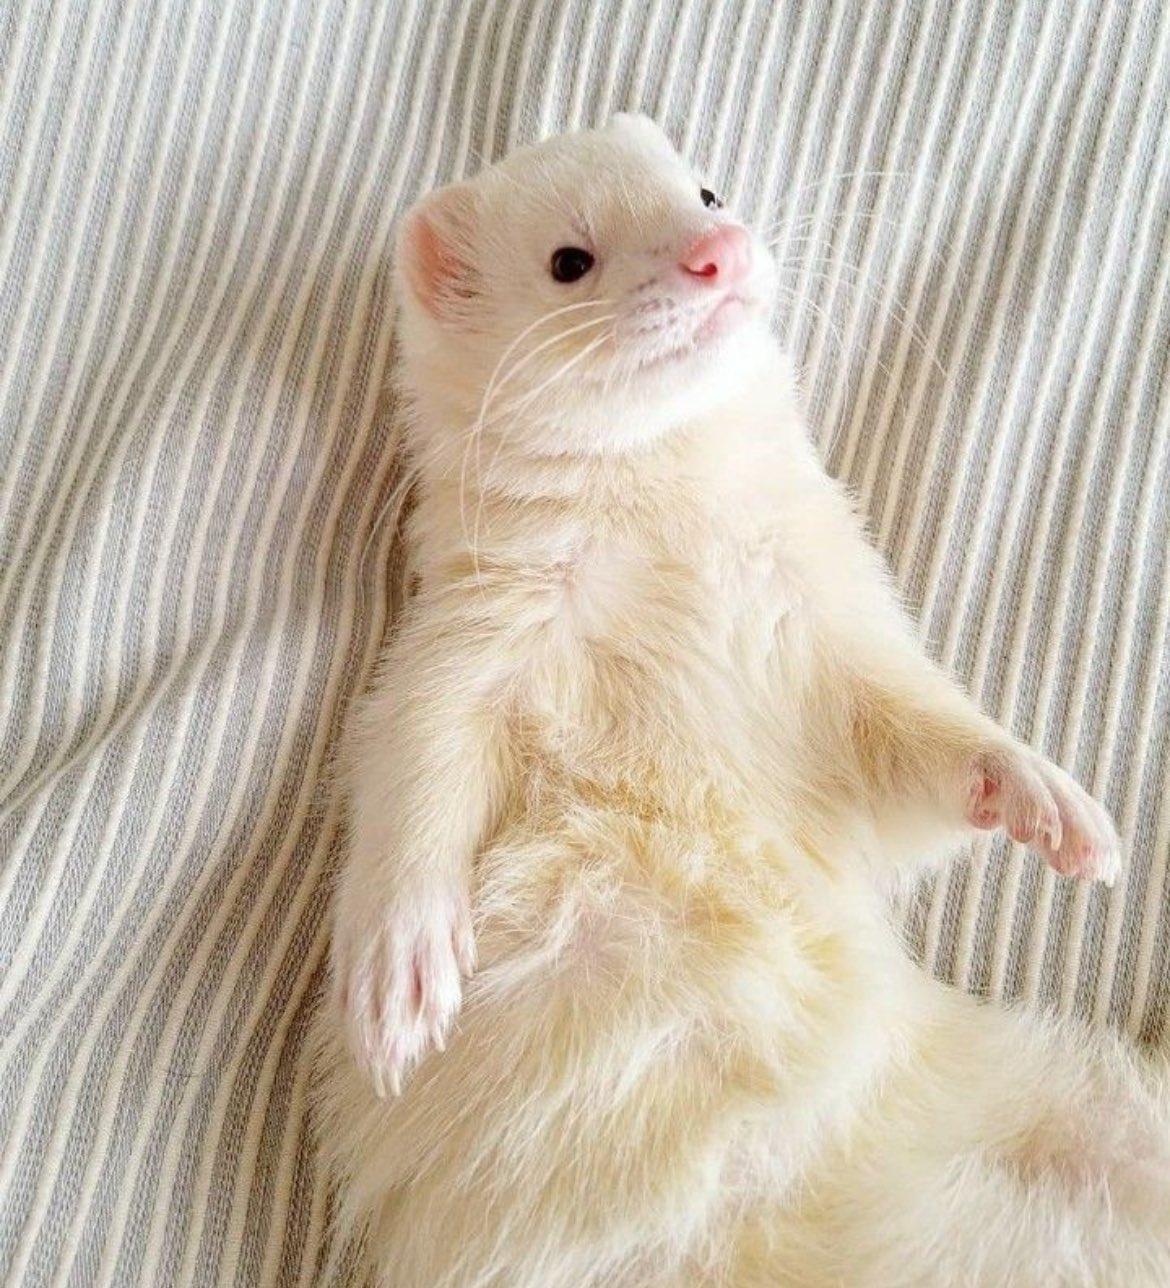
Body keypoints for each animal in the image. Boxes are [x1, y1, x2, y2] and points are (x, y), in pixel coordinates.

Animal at [313, 114, 1170, 1287]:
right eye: (568, 257)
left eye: (706, 185)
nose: (714, 250)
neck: (674, 554)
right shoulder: (462, 643)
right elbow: (412, 773)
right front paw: (399, 971)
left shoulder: (837, 636)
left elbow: (920, 760)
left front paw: (1042, 795)